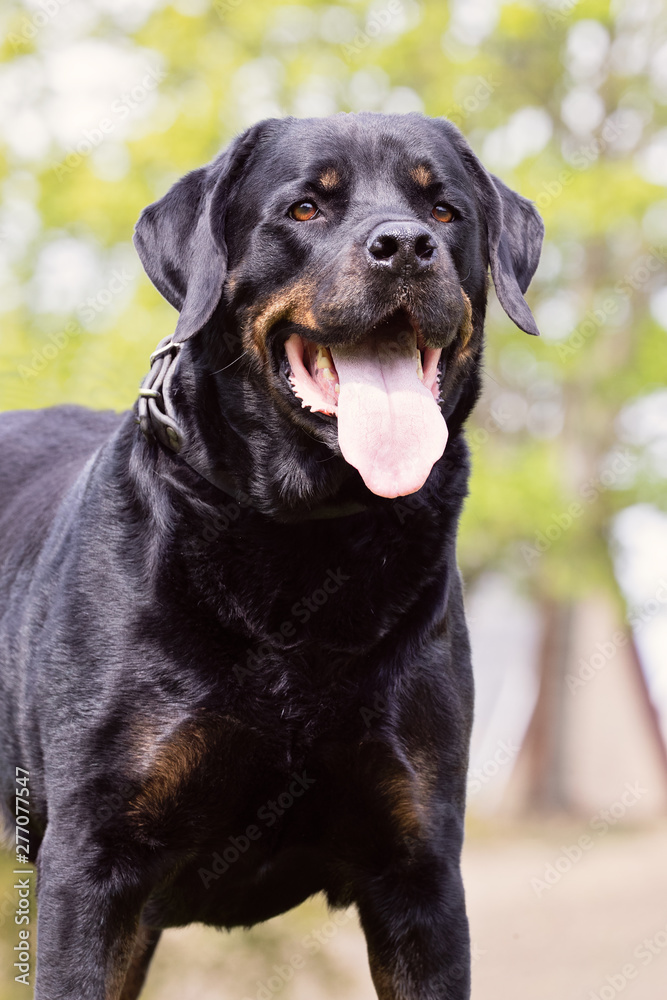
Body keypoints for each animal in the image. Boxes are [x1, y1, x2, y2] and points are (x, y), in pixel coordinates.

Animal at [0, 113, 544, 996]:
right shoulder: (91, 864)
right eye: (304, 209)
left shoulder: (419, 871)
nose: (406, 246)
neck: (304, 538)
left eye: (444, 210)